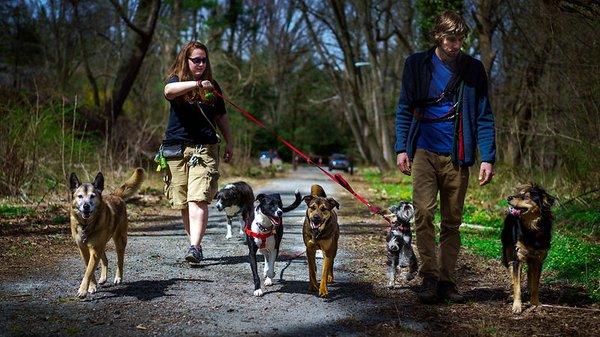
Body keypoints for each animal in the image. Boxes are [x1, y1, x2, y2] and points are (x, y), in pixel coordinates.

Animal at [68, 167, 145, 296]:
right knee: (105, 260)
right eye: (80, 196)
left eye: (92, 196)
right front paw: (91, 286)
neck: (86, 225)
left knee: (120, 260)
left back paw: (118, 277)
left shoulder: (95, 249)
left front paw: (83, 290)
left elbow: (89, 271)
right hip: (101, 244)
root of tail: (115, 195)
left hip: (119, 240)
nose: (86, 206)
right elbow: (89, 268)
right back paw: (103, 278)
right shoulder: (84, 249)